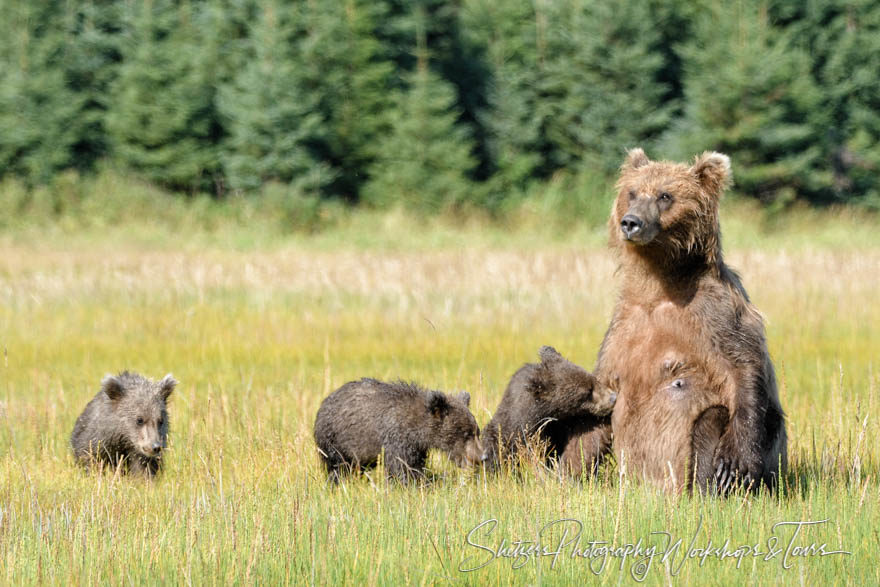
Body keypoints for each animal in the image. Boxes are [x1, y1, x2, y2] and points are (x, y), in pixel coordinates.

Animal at [596, 149, 788, 494]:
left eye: (665, 195)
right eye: (633, 192)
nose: (631, 222)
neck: (660, 284)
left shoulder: (716, 311)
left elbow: (744, 367)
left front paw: (733, 464)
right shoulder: (625, 324)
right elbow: (601, 388)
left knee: (710, 421)